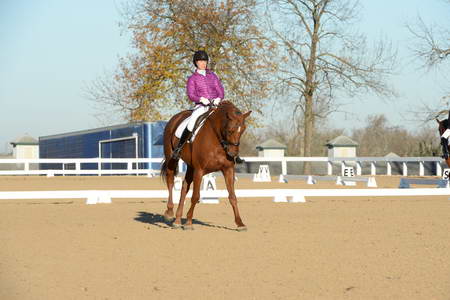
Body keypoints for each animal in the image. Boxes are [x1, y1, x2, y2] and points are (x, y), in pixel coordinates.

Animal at [159, 101, 251, 230]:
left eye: (243, 129)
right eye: (229, 130)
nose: (233, 154)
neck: (217, 137)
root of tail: (175, 117)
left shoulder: (228, 170)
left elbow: (232, 196)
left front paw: (240, 223)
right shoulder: (199, 170)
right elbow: (196, 196)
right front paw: (189, 222)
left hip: (190, 167)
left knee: (184, 187)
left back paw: (177, 220)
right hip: (171, 159)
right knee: (171, 181)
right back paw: (169, 212)